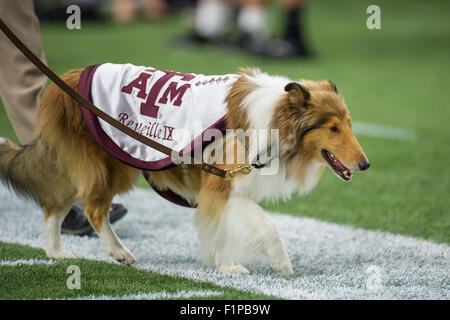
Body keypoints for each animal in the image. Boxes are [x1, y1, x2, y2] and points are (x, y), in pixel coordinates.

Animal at [0, 67, 370, 276]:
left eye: (349, 124)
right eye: (333, 128)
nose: (366, 165)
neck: (275, 119)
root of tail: (62, 82)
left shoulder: (225, 189)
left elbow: (220, 229)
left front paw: (218, 262)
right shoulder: (222, 184)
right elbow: (267, 227)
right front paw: (267, 265)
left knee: (56, 205)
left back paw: (55, 252)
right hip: (106, 166)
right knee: (91, 209)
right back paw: (118, 252)